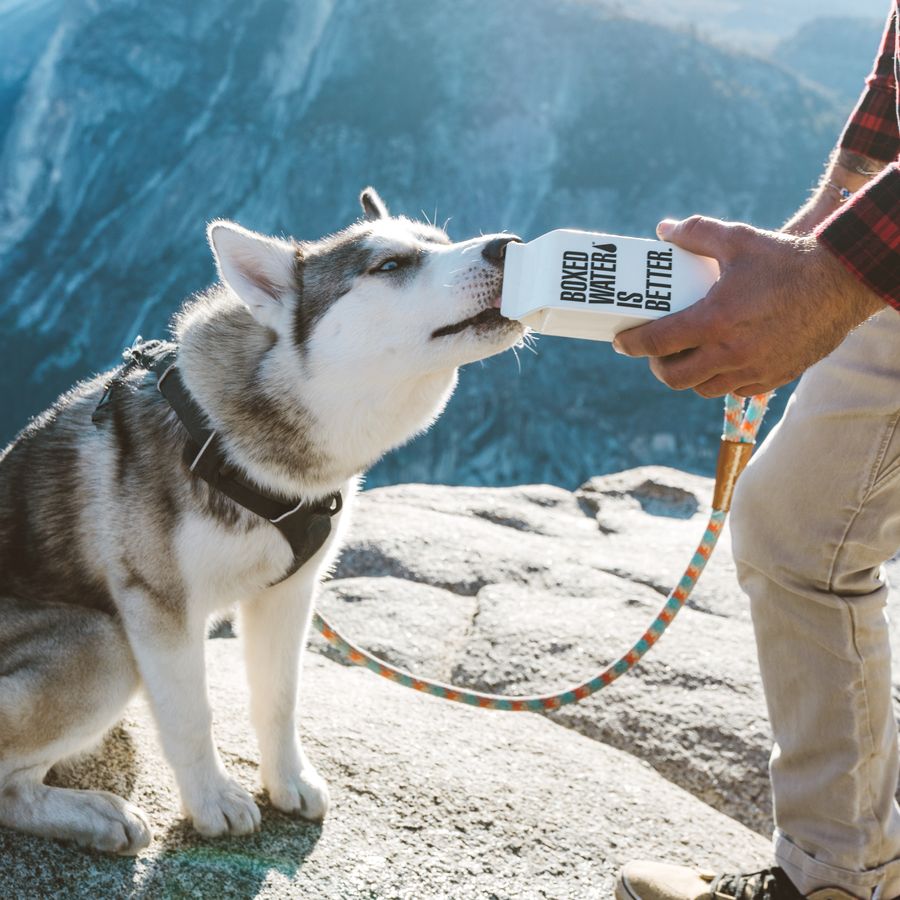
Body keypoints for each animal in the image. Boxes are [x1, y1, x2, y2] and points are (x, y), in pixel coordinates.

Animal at [0, 188, 524, 852]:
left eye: (438, 241)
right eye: (389, 266)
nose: (508, 244)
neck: (237, 447)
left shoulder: (290, 592)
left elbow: (279, 697)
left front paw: (287, 781)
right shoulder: (158, 608)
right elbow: (191, 714)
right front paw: (212, 801)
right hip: (106, 644)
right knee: (9, 787)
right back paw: (94, 814)